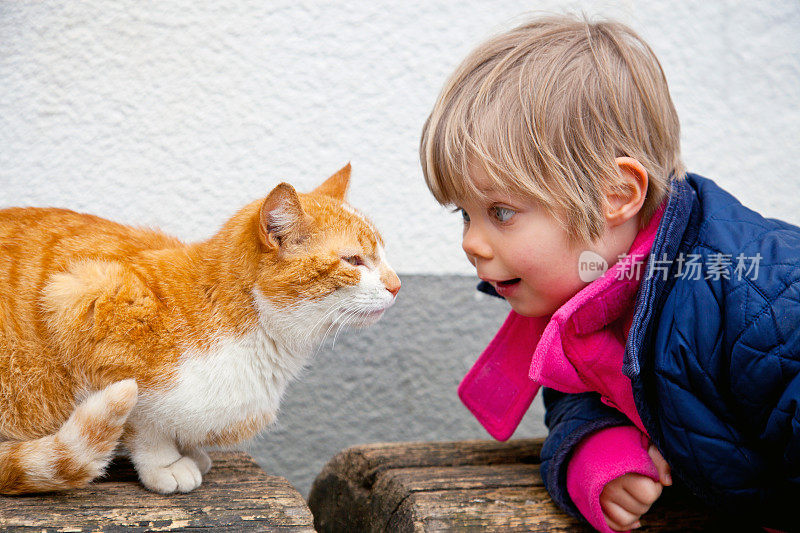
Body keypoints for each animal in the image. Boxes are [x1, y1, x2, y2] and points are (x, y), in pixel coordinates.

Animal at [0, 165, 400, 494]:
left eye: (382, 254)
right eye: (354, 260)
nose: (397, 285)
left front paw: (190, 450)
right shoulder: (82, 299)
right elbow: (141, 421)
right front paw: (165, 462)